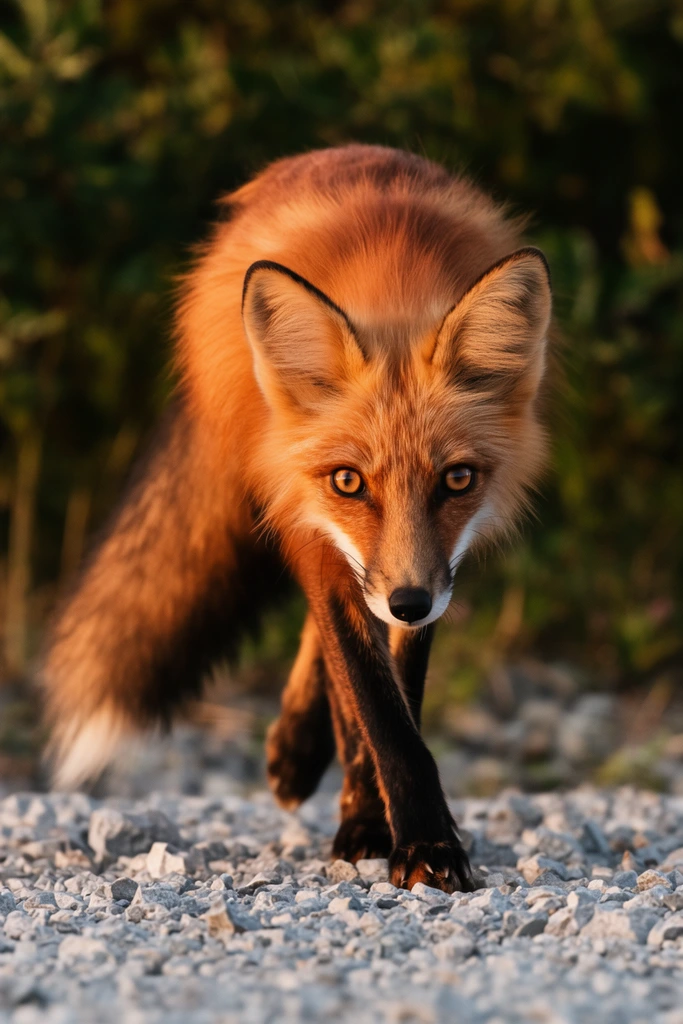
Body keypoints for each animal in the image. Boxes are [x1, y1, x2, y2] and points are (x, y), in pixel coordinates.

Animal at [41, 144, 552, 893]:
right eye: (348, 481)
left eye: (456, 480)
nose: (408, 603)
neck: (390, 276)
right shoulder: (325, 533)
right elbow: (375, 706)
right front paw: (411, 840)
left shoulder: (435, 567)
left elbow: (399, 697)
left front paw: (387, 827)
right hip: (294, 511)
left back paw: (301, 755)